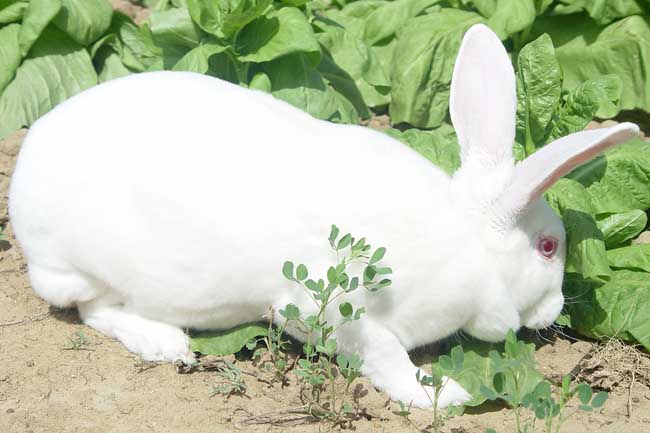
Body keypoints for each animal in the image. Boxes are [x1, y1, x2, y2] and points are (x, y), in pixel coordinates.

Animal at [8, 22, 636, 408]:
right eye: (548, 248)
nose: (554, 310)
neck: (468, 243)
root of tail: (21, 183)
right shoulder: (334, 310)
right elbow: (384, 357)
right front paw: (440, 393)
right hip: (93, 268)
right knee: (93, 309)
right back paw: (166, 345)